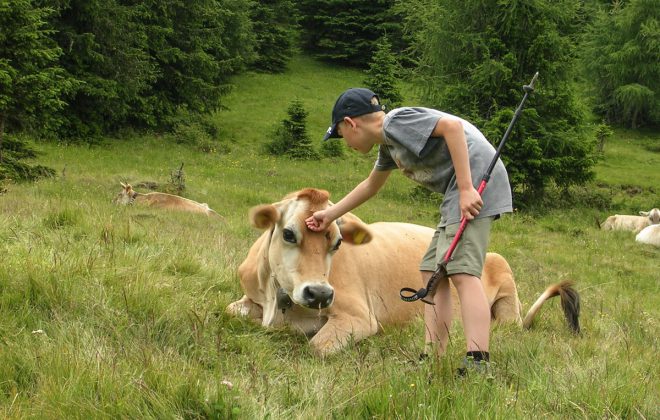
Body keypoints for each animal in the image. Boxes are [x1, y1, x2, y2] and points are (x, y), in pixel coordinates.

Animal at [229, 189, 580, 356]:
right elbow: (231, 310)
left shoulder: (358, 316)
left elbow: (315, 348)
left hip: (504, 279)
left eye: (338, 242)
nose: (320, 293)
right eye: (288, 233)